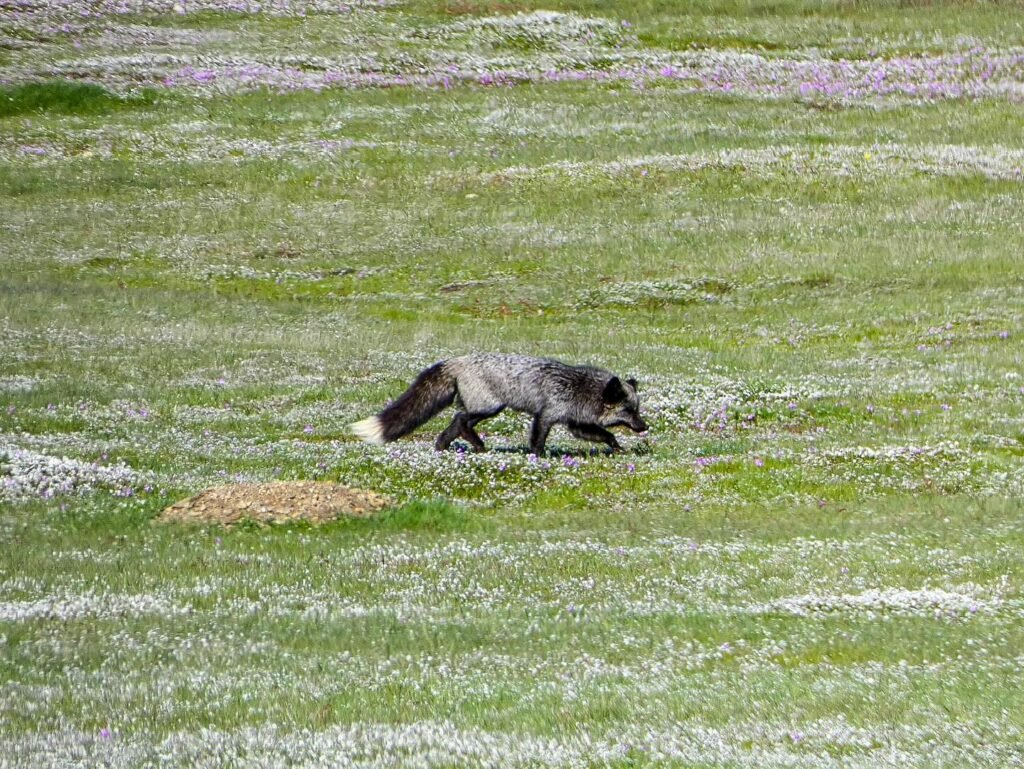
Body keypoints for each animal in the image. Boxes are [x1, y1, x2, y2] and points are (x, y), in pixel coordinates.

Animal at [350, 353, 648, 455]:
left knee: (455, 424)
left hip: (485, 409)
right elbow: (538, 440)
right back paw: (478, 446)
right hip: (489, 408)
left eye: (637, 410)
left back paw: (444, 447)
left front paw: (618, 448)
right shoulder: (546, 415)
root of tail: (455, 361)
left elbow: (605, 434)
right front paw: (538, 458)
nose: (644, 426)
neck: (578, 387)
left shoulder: (575, 424)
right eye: (629, 411)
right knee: (460, 420)